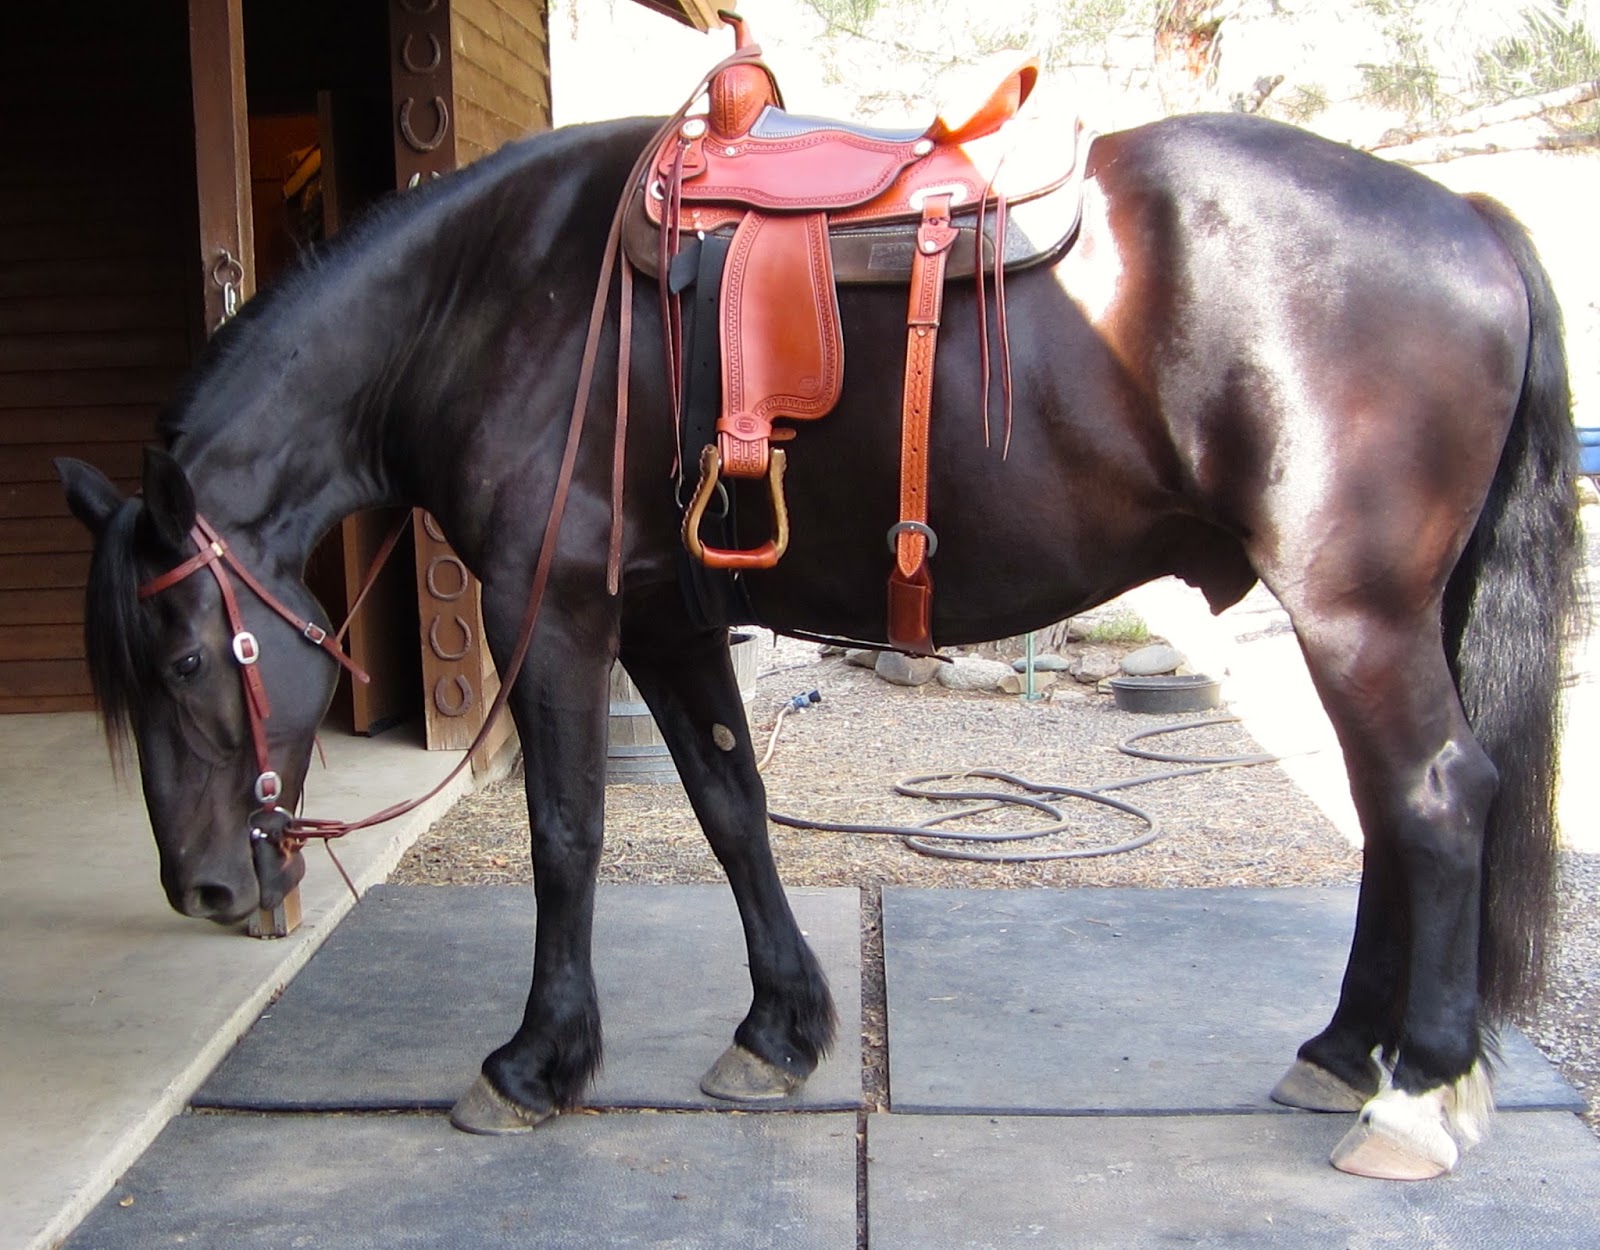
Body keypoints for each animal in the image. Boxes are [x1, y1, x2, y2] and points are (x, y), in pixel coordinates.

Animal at [56, 104, 1580, 1182]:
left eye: (184, 660)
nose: (202, 886)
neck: (496, 297)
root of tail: (1466, 217)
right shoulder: (666, 615)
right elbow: (731, 804)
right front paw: (780, 1033)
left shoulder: (555, 613)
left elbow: (568, 831)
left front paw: (538, 1061)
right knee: (1392, 813)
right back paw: (1343, 1048)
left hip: (1353, 609)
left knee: (1436, 798)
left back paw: (1416, 1089)